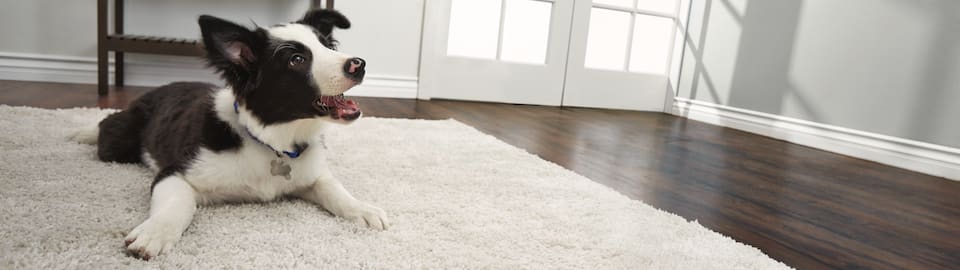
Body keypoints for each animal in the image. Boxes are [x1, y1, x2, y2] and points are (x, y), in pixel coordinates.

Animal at [72, 10, 386, 260]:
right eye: (296, 59)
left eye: (329, 45)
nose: (359, 64)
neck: (270, 140)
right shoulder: (176, 171)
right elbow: (179, 203)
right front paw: (155, 233)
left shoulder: (310, 172)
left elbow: (333, 188)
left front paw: (363, 209)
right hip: (119, 143)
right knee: (106, 125)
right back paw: (83, 131)